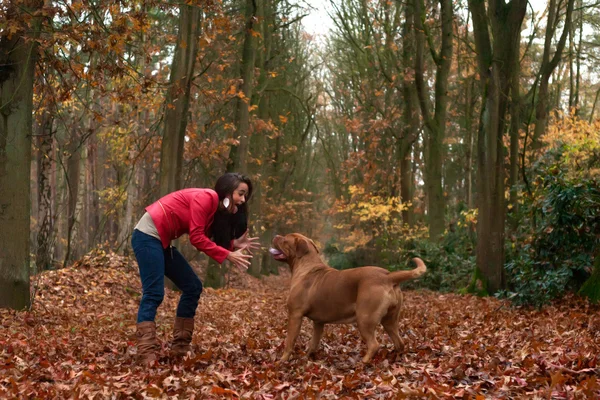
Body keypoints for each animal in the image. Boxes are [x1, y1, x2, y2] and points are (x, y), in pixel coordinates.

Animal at [270, 233, 424, 364]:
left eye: (284, 239)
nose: (276, 235)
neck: (306, 266)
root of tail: (388, 276)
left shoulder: (295, 315)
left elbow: (289, 341)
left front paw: (282, 360)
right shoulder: (318, 322)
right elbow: (314, 343)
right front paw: (307, 357)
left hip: (364, 318)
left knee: (374, 344)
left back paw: (363, 362)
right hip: (390, 320)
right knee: (399, 342)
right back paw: (395, 357)